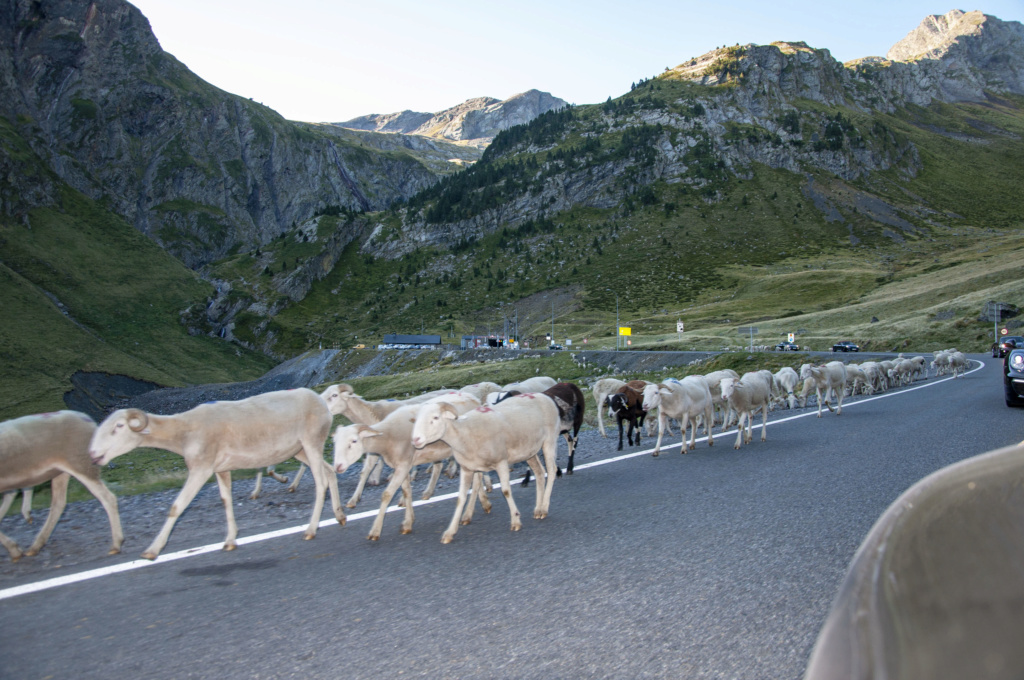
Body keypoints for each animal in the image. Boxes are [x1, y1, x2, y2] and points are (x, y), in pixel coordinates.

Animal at [1, 409, 123, 561]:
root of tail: (85, 417)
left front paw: (14, 550)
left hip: (81, 465)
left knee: (108, 498)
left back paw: (116, 544)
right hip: (60, 471)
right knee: (58, 503)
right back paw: (36, 545)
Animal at [89, 387, 344, 557]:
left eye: (118, 426)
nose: (92, 454)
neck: (183, 431)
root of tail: (319, 400)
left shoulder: (201, 468)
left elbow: (177, 507)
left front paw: (153, 549)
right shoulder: (221, 469)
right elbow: (225, 501)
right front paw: (230, 539)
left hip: (311, 442)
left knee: (321, 482)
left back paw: (311, 529)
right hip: (300, 450)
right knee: (330, 472)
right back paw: (339, 515)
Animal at [409, 393, 561, 540]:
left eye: (435, 417)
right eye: (416, 420)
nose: (415, 440)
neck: (464, 434)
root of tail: (543, 396)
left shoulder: (501, 461)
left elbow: (506, 491)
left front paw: (515, 521)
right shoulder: (467, 468)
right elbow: (461, 498)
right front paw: (449, 533)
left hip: (549, 440)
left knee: (551, 471)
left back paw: (544, 508)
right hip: (529, 451)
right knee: (540, 472)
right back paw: (538, 509)